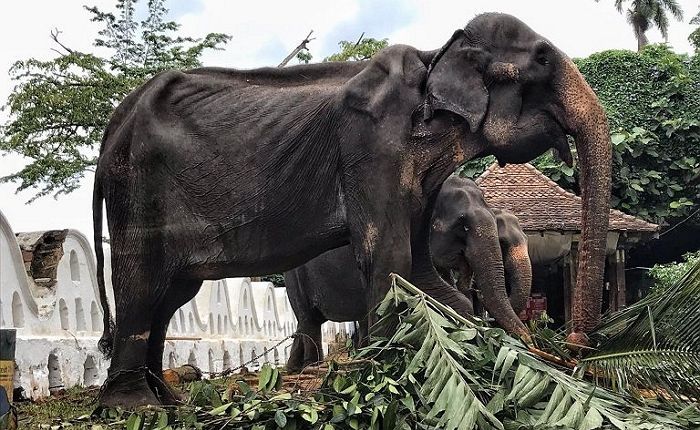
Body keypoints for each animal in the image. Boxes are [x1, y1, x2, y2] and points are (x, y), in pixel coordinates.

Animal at [282, 175, 532, 370]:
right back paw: (312, 367)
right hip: (294, 277)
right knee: (309, 320)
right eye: (462, 225)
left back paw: (297, 367)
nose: (530, 342)